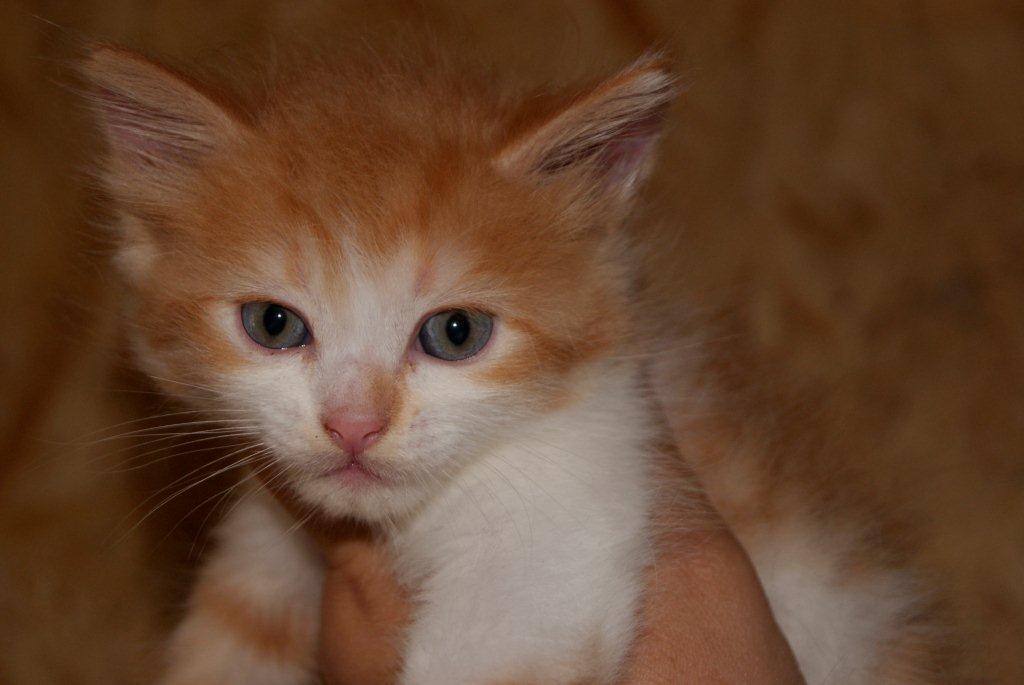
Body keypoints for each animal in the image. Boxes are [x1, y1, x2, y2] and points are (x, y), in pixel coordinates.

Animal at [83, 40, 940, 684]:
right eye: (273, 323)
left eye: (456, 333)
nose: (353, 424)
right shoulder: (270, 539)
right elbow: (232, 632)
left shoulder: (566, 513)